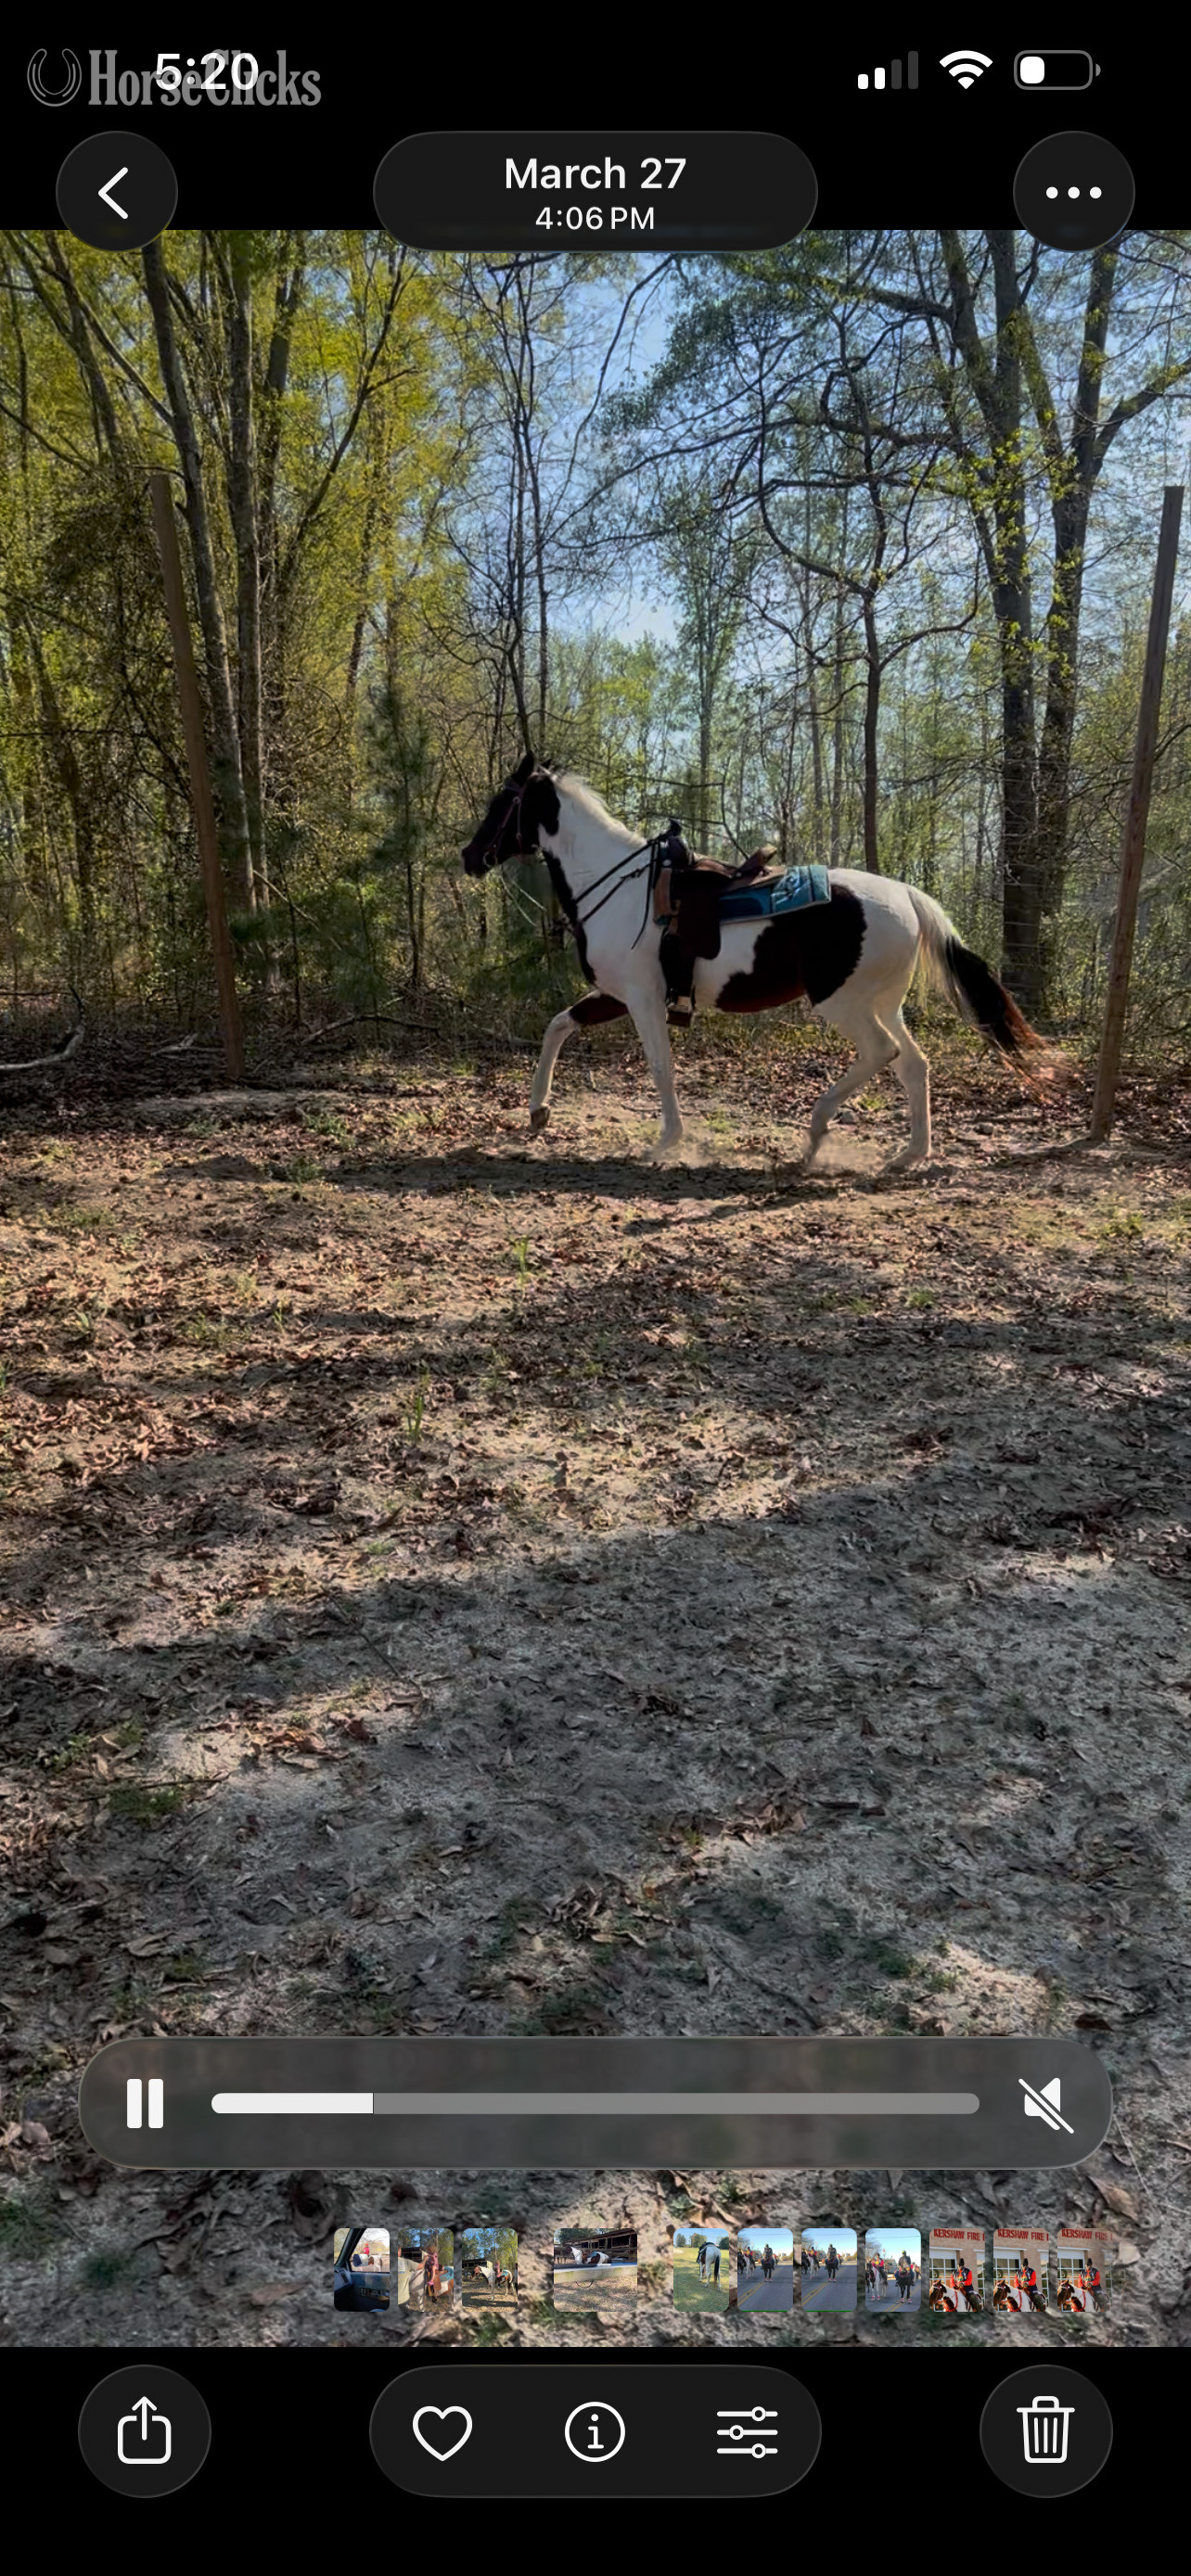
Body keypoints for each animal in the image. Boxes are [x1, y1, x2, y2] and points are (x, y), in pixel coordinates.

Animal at [461, 755, 1056, 1165]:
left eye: (501, 804)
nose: (469, 857)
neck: (619, 887)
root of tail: (908, 895)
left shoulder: (642, 999)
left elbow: (660, 1067)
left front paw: (667, 1142)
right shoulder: (613, 995)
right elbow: (557, 1027)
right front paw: (538, 1110)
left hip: (841, 1003)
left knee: (880, 1053)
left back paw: (817, 1131)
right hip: (885, 1004)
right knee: (913, 1064)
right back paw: (908, 1154)